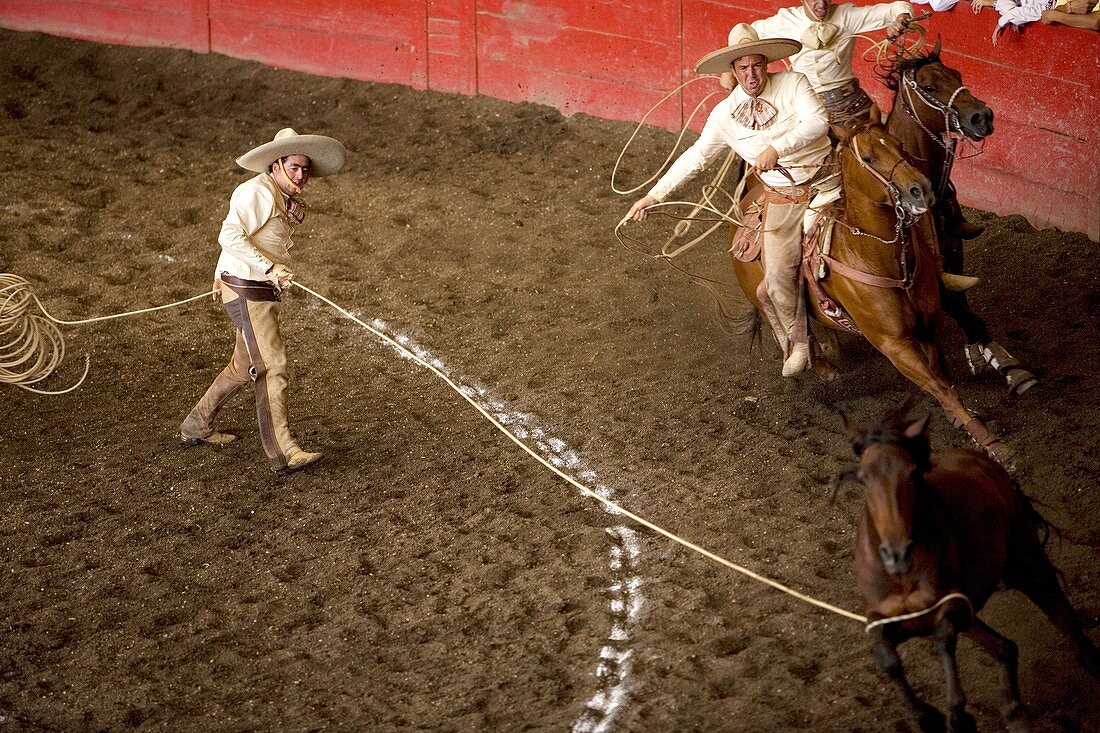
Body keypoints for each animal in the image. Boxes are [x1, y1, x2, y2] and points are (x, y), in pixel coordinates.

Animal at [726, 117, 1007, 460]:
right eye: (870, 158)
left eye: (899, 145)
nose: (921, 189)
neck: (877, 260)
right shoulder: (894, 344)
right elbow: (938, 386)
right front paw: (990, 441)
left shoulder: (927, 328)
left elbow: (943, 377)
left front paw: (963, 420)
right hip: (767, 296)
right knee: (787, 324)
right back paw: (816, 366)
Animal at [836, 402, 1095, 730]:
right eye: (863, 478)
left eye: (912, 473)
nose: (897, 551)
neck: (902, 576)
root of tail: (980, 460)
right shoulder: (883, 619)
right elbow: (887, 660)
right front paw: (926, 717)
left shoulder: (951, 607)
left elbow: (944, 641)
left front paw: (957, 715)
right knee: (1005, 647)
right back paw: (1013, 710)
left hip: (1026, 562)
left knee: (1061, 614)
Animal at [880, 38, 1034, 394]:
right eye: (928, 86)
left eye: (957, 74)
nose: (982, 116)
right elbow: (955, 304)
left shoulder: (953, 246)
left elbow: (962, 300)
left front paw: (990, 355)